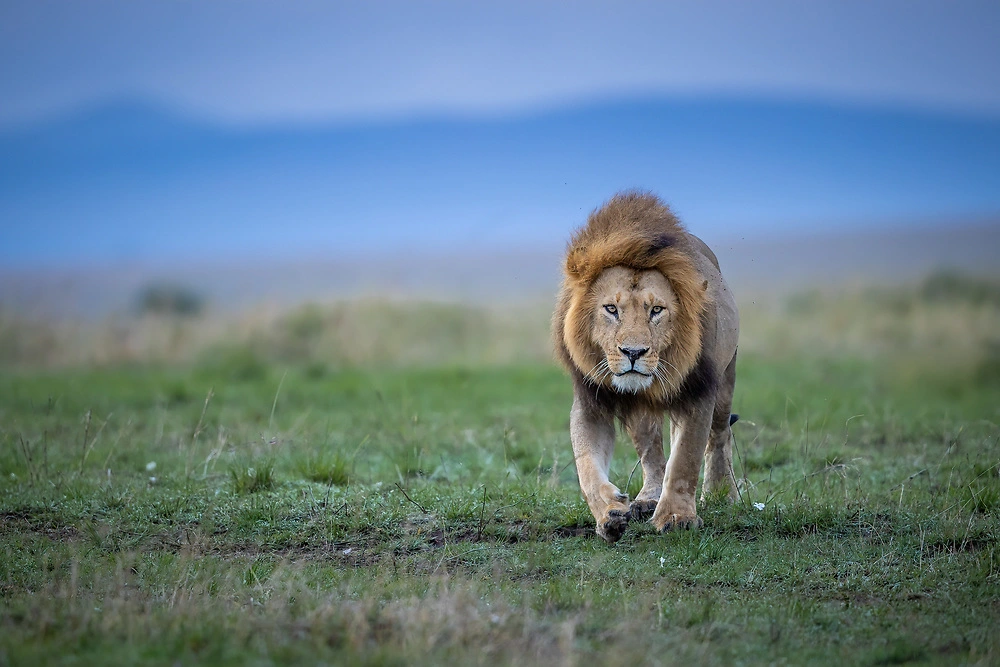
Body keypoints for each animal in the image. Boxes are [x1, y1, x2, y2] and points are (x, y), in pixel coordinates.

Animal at [552, 192, 740, 544]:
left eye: (657, 310)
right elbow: (586, 466)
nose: (633, 352)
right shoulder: (590, 400)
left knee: (719, 435)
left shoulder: (698, 393)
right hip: (640, 415)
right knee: (652, 454)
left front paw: (677, 518)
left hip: (725, 381)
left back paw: (723, 493)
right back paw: (649, 498)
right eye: (611, 309)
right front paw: (610, 514)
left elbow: (686, 460)